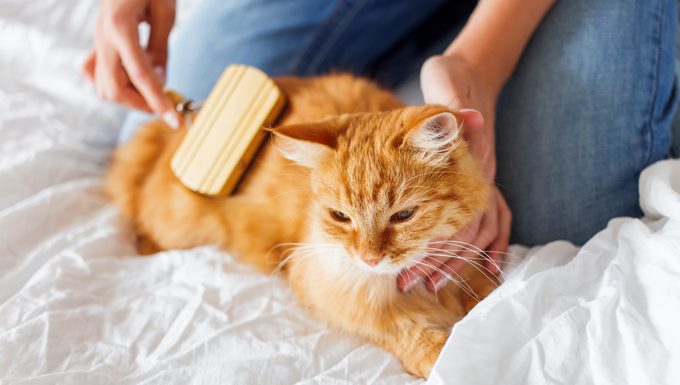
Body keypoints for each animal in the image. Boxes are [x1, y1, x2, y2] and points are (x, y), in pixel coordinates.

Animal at [109, 73, 496, 376]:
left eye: (403, 216)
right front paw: (445, 357)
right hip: (180, 222)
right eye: (340, 217)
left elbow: (485, 295)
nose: (368, 259)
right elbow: (413, 336)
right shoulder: (336, 295)